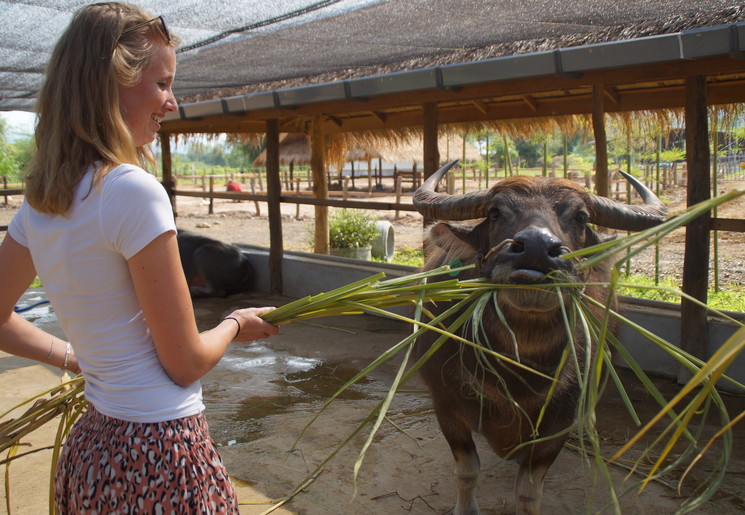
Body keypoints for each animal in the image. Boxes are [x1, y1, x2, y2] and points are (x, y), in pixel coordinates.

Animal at [411, 161, 667, 515]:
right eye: (494, 212)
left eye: (581, 216)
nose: (536, 248)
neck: (518, 364)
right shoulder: (446, 405)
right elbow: (467, 471)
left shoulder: (558, 423)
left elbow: (529, 490)